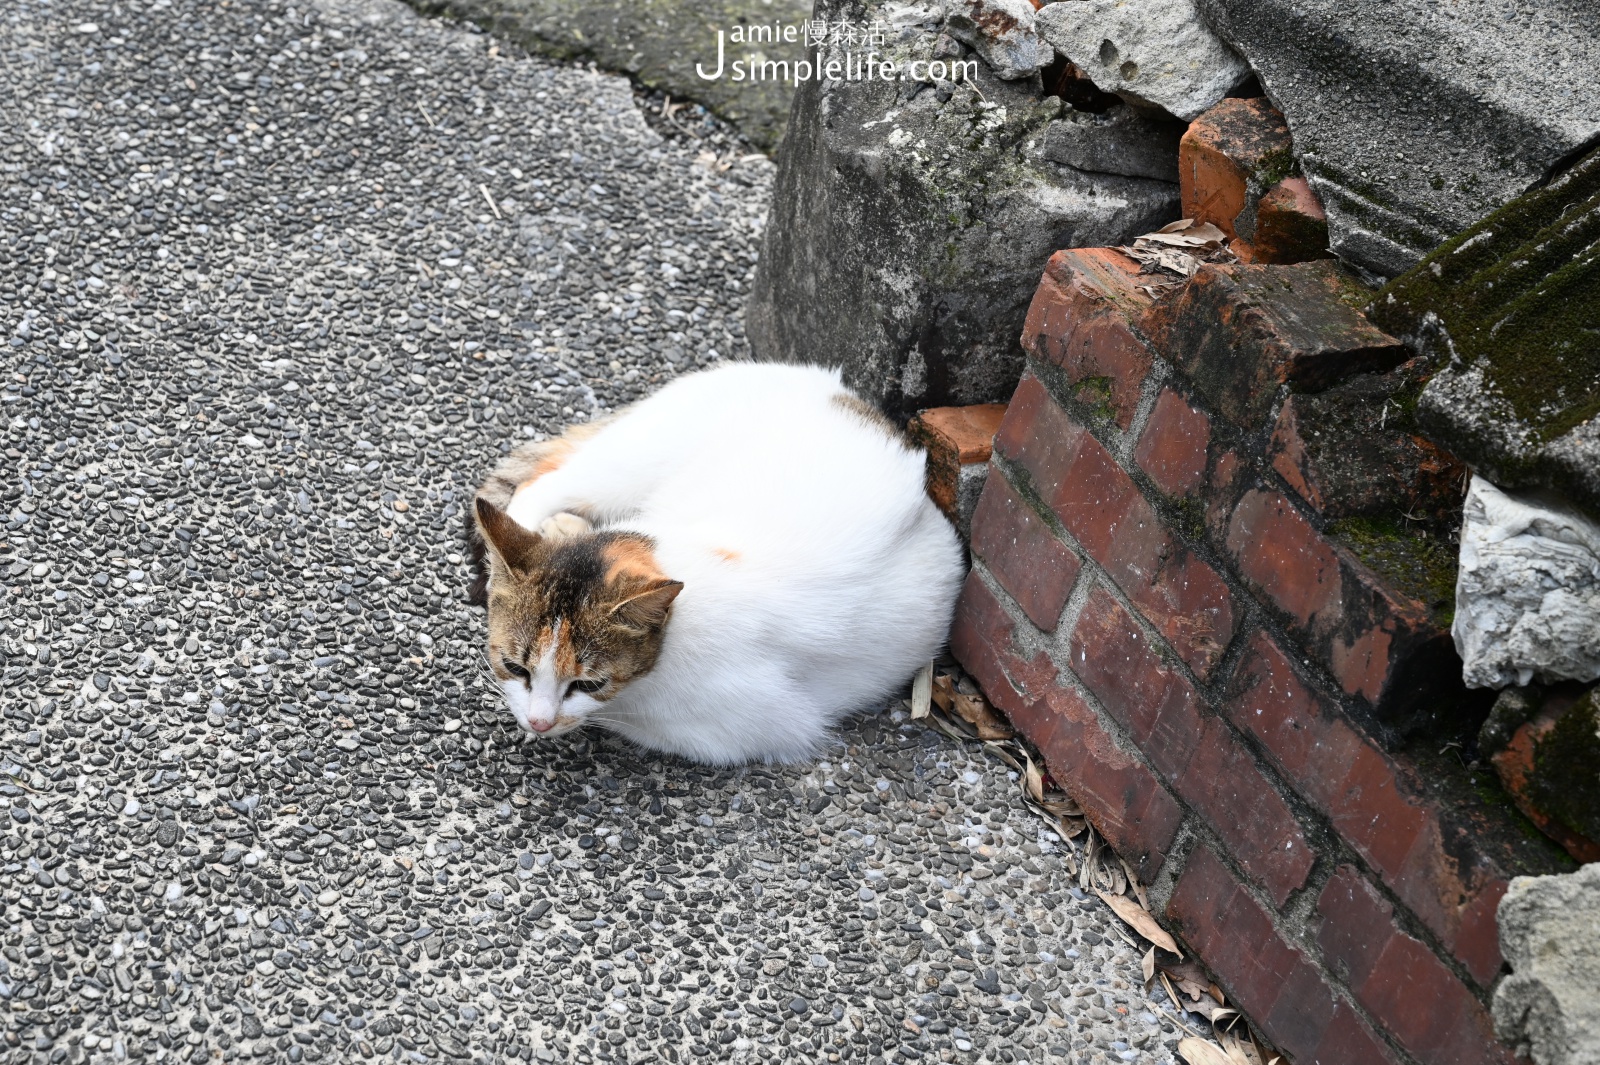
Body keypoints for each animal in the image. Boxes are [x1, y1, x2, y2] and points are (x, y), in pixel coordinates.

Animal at [464, 364, 960, 764]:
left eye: (588, 685)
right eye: (515, 667)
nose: (538, 722)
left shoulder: (752, 728)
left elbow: (619, 719)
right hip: (631, 461)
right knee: (544, 482)